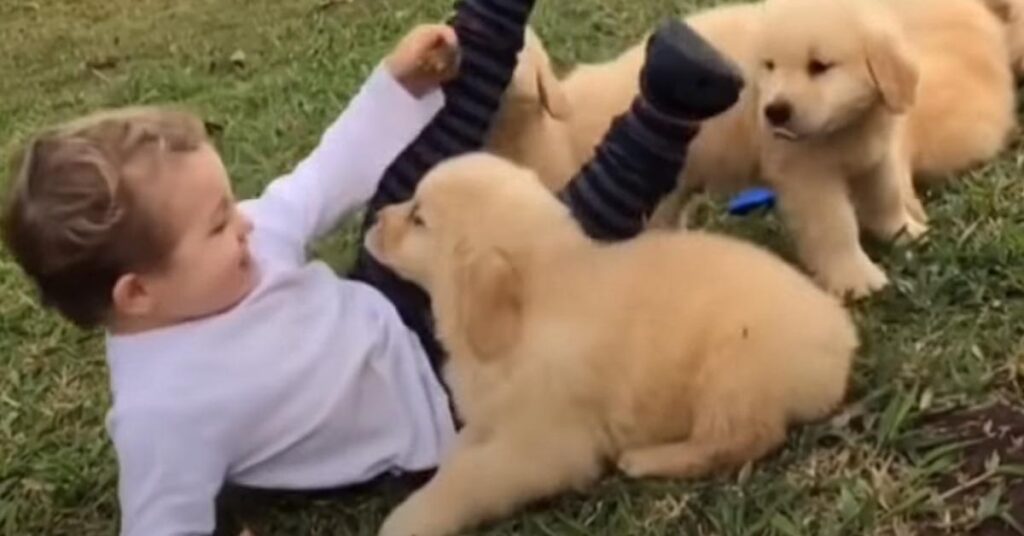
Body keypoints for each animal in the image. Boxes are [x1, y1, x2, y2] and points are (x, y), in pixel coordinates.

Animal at [364, 151, 860, 536]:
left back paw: (647, 459)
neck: (533, 308)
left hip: (733, 372)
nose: (374, 219)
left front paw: (410, 518)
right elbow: (459, 454)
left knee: (742, 438)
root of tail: (841, 336)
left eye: (418, 218)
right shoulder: (493, 418)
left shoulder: (544, 447)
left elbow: (470, 478)